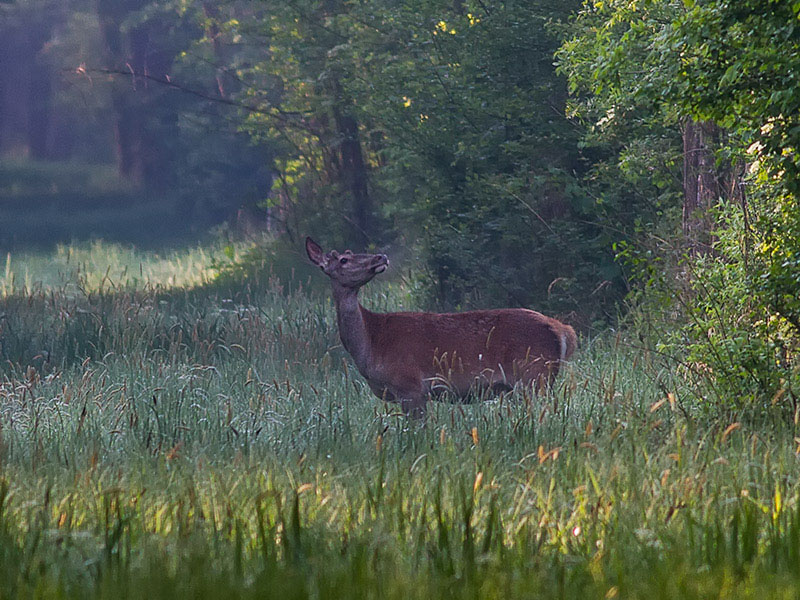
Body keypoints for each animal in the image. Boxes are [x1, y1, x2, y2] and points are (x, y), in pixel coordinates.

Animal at [306, 237, 576, 414]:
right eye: (344, 259)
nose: (380, 256)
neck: (371, 343)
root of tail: (563, 330)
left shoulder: (410, 386)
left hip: (534, 375)